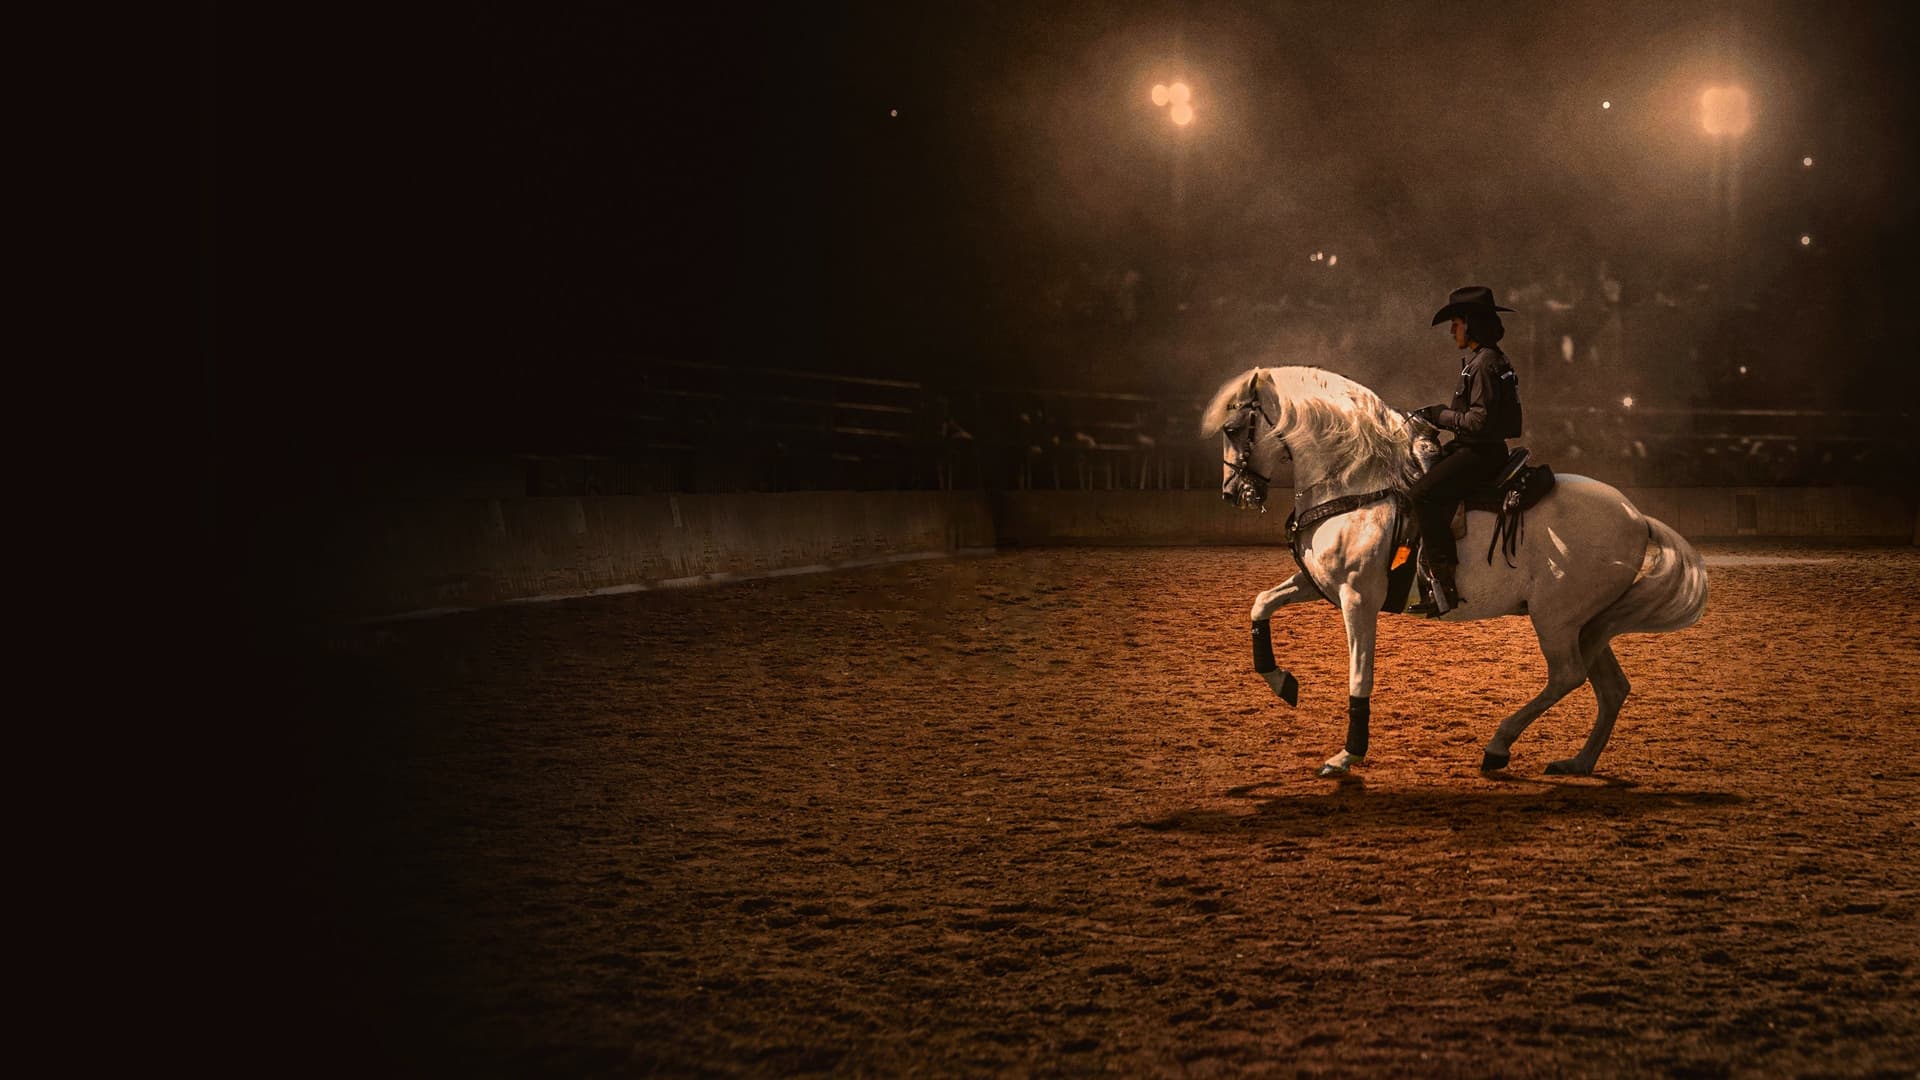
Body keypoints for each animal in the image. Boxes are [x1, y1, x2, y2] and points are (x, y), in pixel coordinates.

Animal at [1202, 365, 1709, 778]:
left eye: (1233, 428)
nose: (1231, 492)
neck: (1356, 484)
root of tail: (1637, 516)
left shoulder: (1358, 597)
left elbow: (1359, 675)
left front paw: (1348, 755)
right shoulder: (1319, 583)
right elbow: (1261, 604)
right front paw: (1281, 681)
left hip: (1557, 619)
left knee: (1568, 676)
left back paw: (1498, 746)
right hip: (1589, 624)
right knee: (1611, 688)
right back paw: (1578, 763)